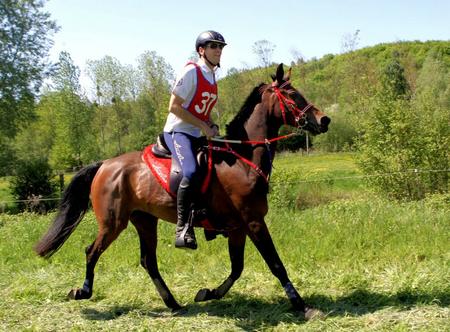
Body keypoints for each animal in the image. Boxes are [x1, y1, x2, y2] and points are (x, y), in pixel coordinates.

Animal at [34, 63, 330, 320]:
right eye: (292, 94)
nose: (324, 119)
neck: (241, 158)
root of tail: (105, 164)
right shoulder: (254, 221)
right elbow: (275, 264)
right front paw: (302, 306)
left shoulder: (238, 226)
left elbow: (237, 268)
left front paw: (208, 293)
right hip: (112, 222)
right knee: (91, 251)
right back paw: (82, 291)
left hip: (144, 220)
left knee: (148, 261)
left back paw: (173, 303)